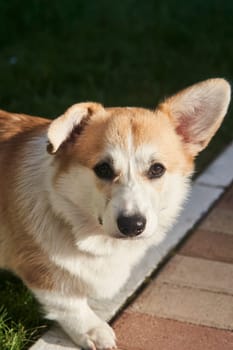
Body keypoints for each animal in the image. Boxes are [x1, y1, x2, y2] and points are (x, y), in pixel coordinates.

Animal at [0, 79, 230, 350]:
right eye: (103, 169)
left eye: (157, 169)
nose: (132, 225)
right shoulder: (38, 266)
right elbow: (67, 301)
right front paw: (93, 330)